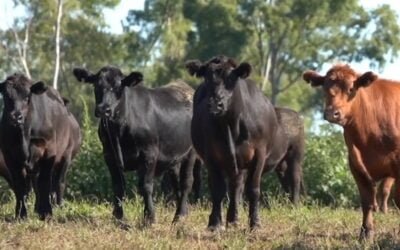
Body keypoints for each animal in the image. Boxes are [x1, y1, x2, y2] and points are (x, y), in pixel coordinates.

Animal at [0, 73, 81, 220]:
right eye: (7, 97)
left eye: (27, 97)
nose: (16, 117)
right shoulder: (9, 155)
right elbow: (20, 185)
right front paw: (21, 214)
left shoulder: (49, 151)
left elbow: (44, 182)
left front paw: (46, 212)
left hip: (66, 156)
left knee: (58, 182)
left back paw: (57, 205)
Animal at [74, 66, 197, 225]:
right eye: (96, 85)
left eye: (118, 86)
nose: (103, 109)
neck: (120, 128)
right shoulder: (109, 155)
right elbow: (118, 186)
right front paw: (118, 216)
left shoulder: (149, 154)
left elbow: (145, 186)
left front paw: (149, 217)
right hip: (174, 157)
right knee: (176, 182)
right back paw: (183, 212)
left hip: (191, 152)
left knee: (186, 182)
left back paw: (179, 216)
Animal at [186, 55, 290, 229]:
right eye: (206, 78)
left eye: (231, 78)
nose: (215, 104)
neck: (232, 125)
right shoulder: (211, 157)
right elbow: (218, 189)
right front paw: (215, 223)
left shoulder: (259, 155)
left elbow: (253, 189)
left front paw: (255, 223)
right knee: (233, 186)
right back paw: (230, 219)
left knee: (237, 186)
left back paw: (233, 219)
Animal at [304, 64, 400, 238]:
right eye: (325, 88)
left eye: (350, 88)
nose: (332, 113)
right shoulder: (356, 164)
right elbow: (367, 200)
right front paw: (366, 233)